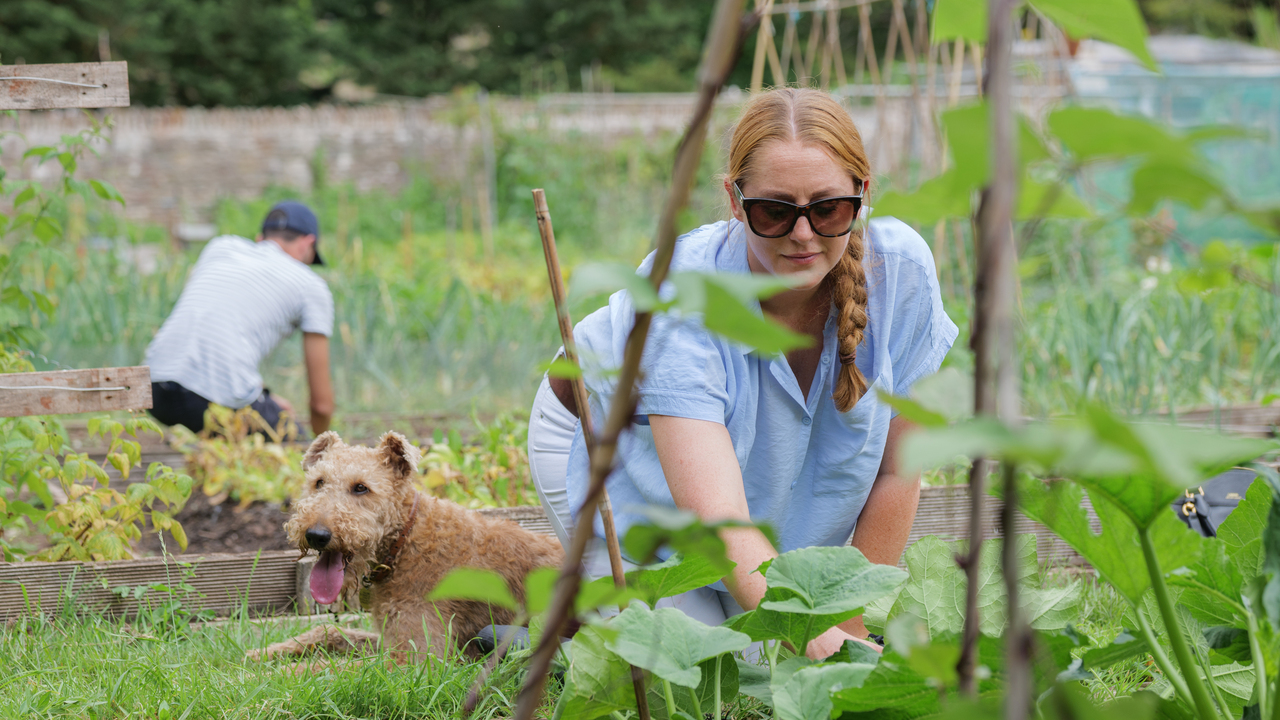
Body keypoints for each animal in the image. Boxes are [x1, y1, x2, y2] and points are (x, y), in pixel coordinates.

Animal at [248, 427, 565, 661]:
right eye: (318, 482)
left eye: (361, 487)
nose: (316, 534)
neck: (403, 543)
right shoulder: (390, 639)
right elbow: (330, 631)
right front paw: (260, 654)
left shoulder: (417, 660)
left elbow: (324, 671)